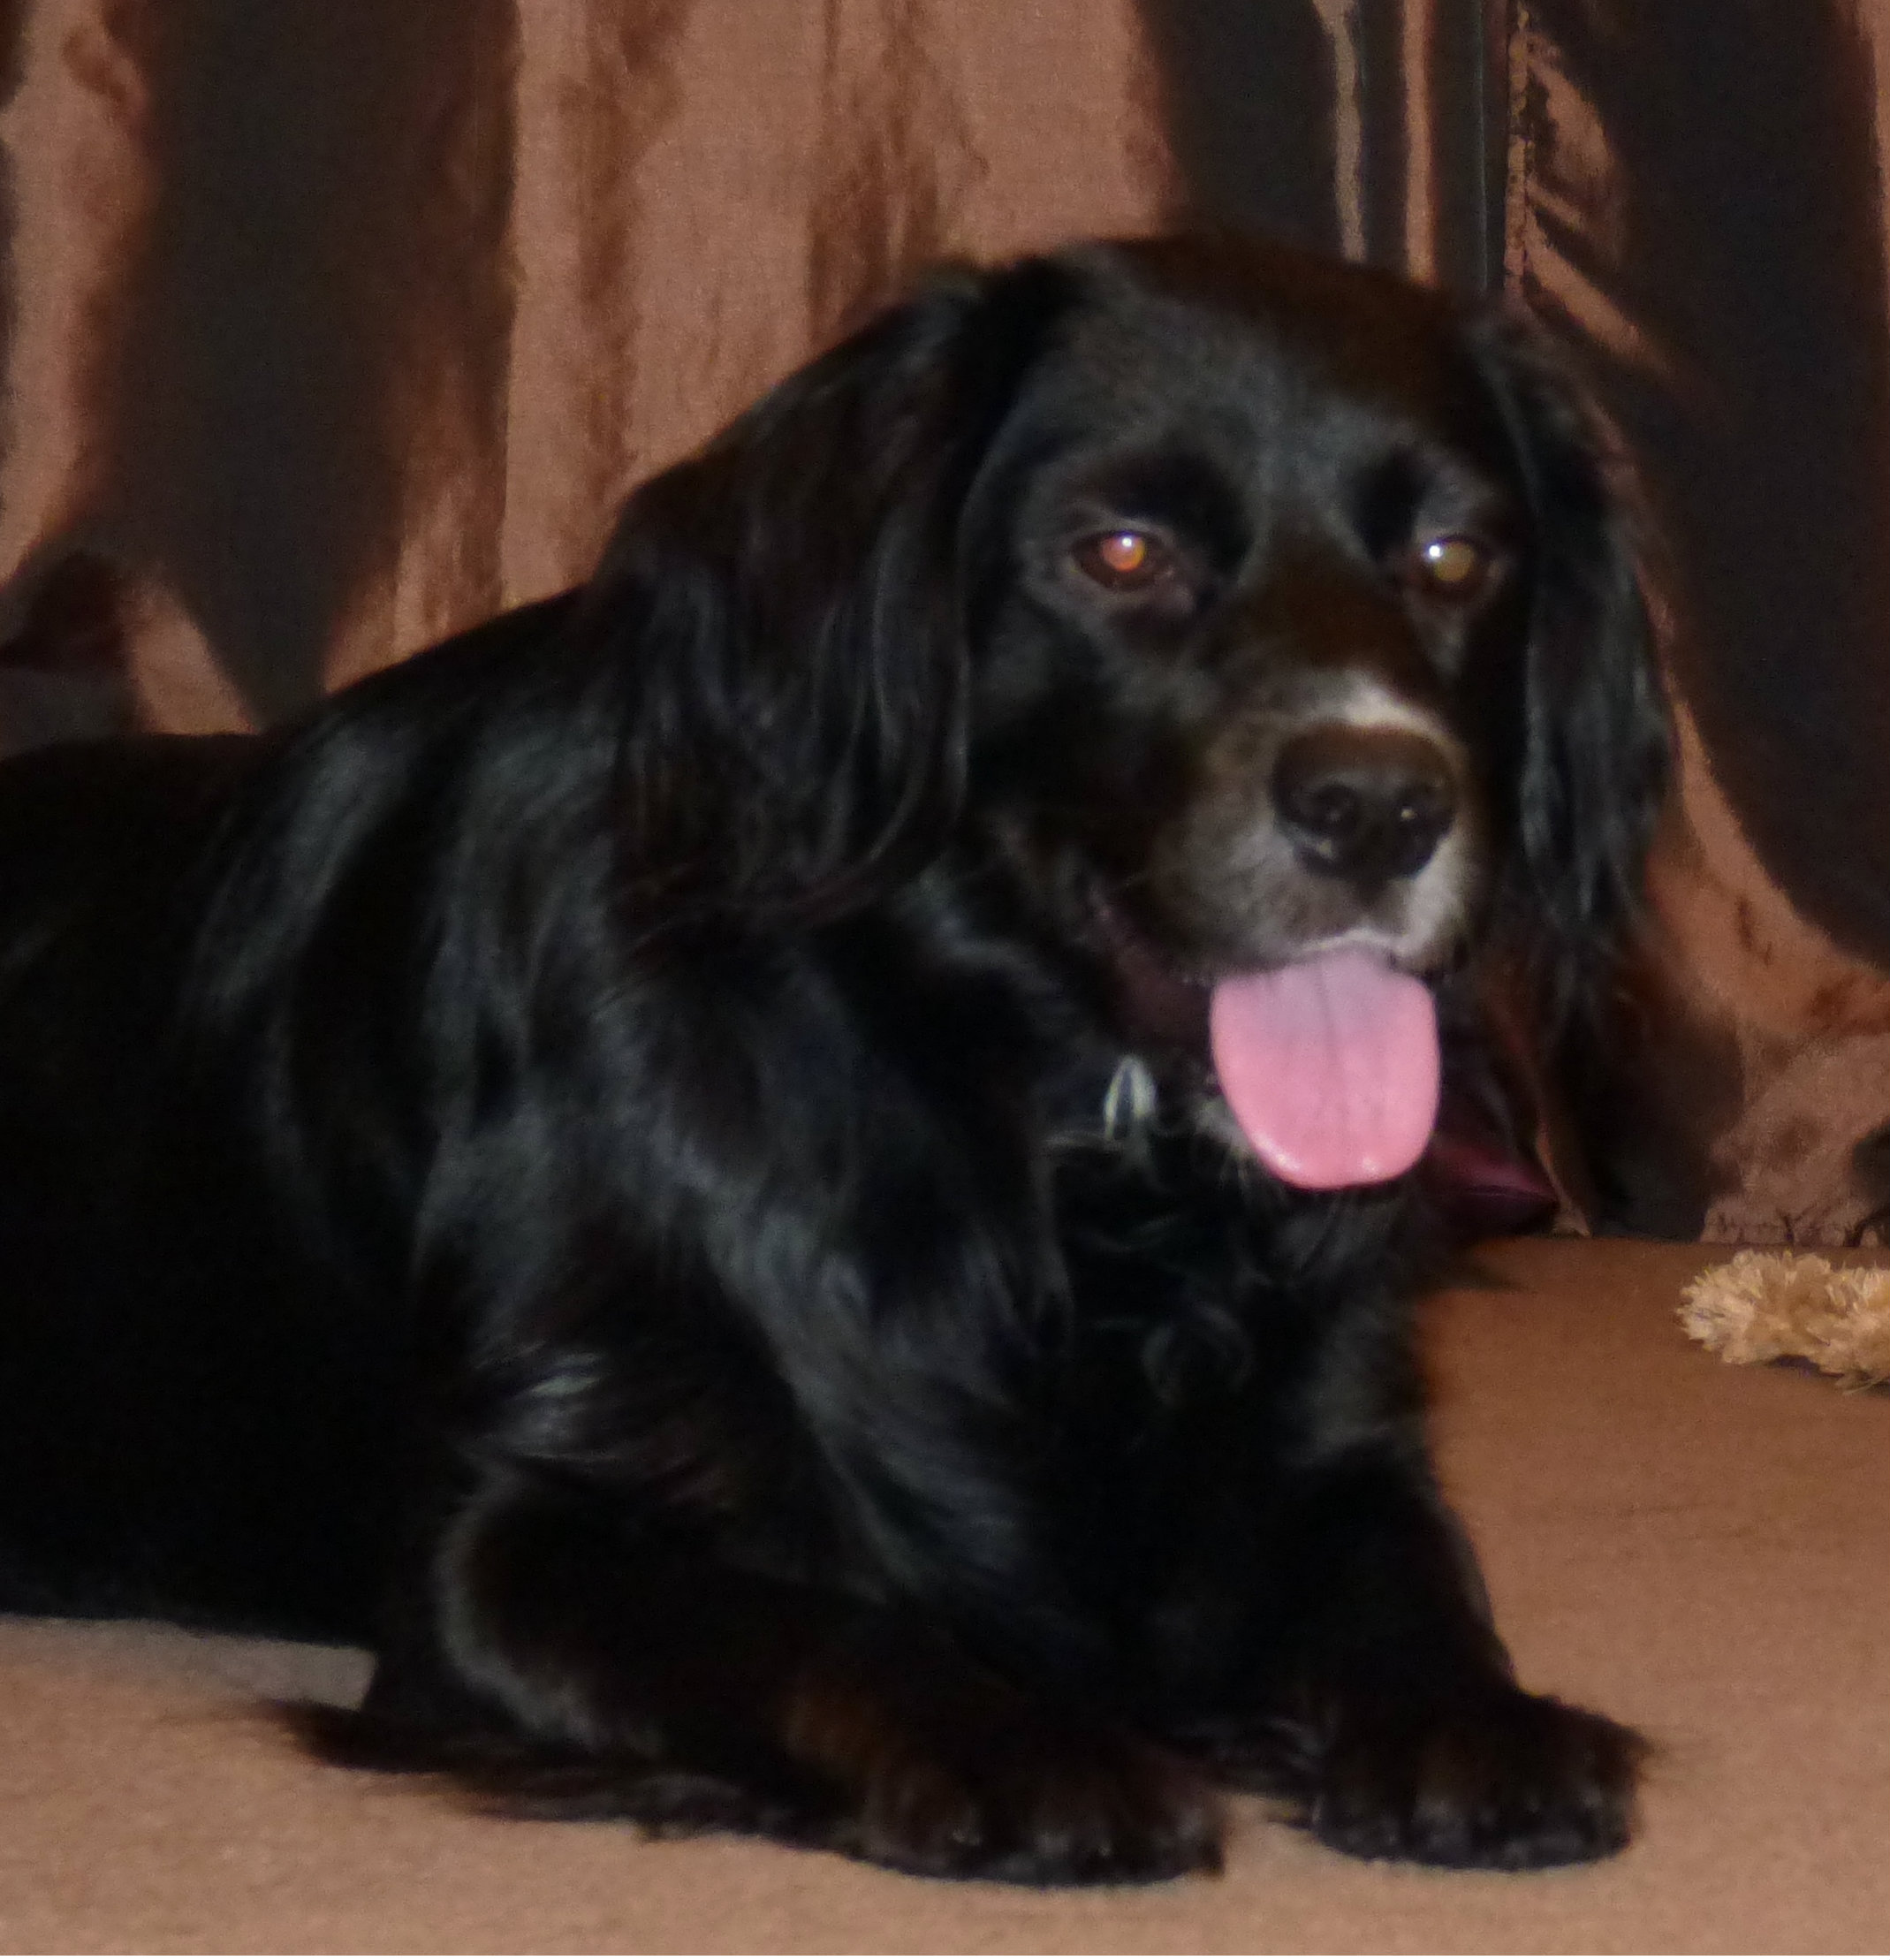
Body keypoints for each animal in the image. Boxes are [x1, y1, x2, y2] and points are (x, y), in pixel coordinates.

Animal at [0, 234, 1666, 1884]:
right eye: (1120, 553)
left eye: (1452, 557)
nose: (1379, 807)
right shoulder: (508, 1542)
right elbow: (808, 1625)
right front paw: (1023, 1745)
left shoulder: (1332, 1442)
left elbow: (1407, 1577)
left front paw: (1477, 1720)